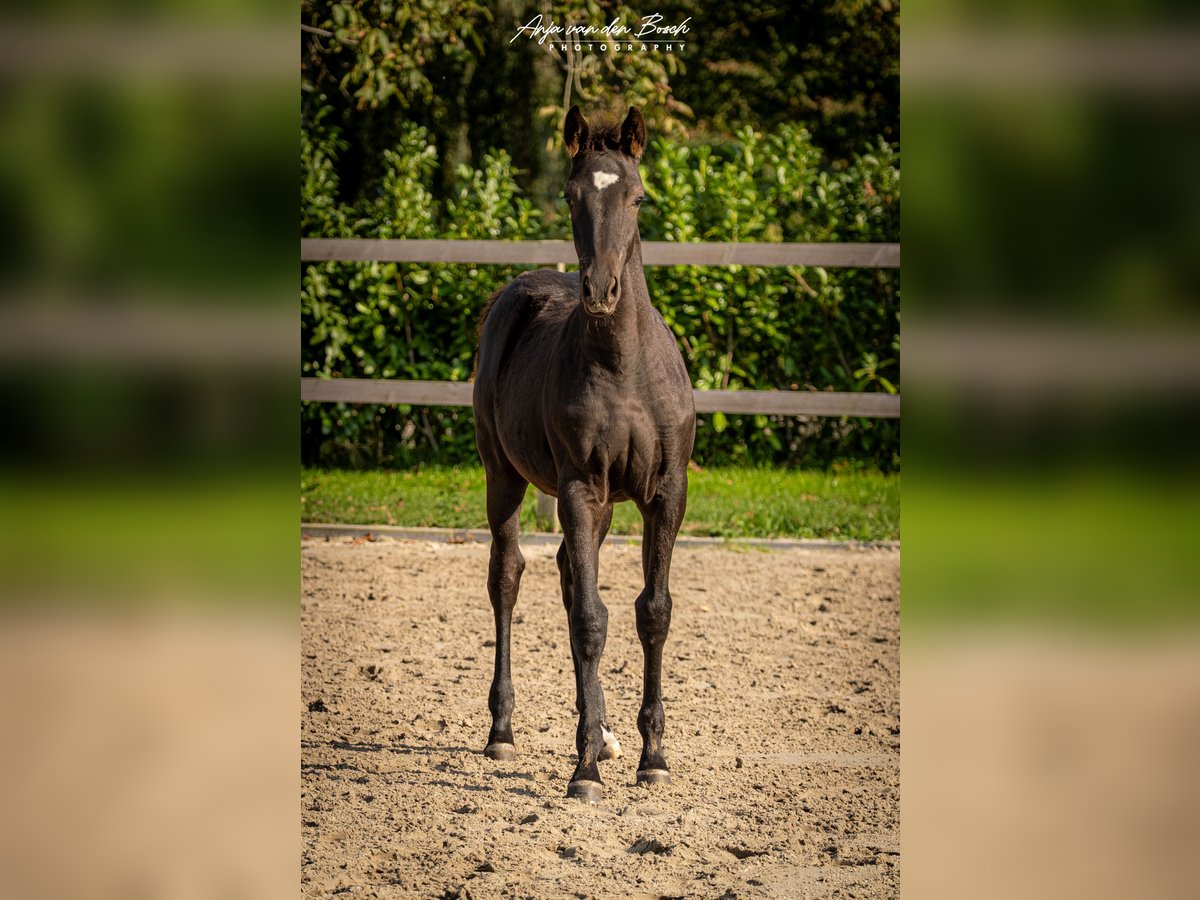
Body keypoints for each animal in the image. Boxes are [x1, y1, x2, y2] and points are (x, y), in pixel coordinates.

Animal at [472, 105, 696, 803]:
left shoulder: (664, 493)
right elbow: (594, 621)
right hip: (504, 477)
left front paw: (651, 756)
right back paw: (504, 731)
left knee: (572, 578)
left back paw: (599, 731)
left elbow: (652, 611)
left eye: (638, 196)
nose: (601, 289)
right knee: (509, 577)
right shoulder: (579, 487)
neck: (624, 367)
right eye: (572, 196)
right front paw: (586, 771)